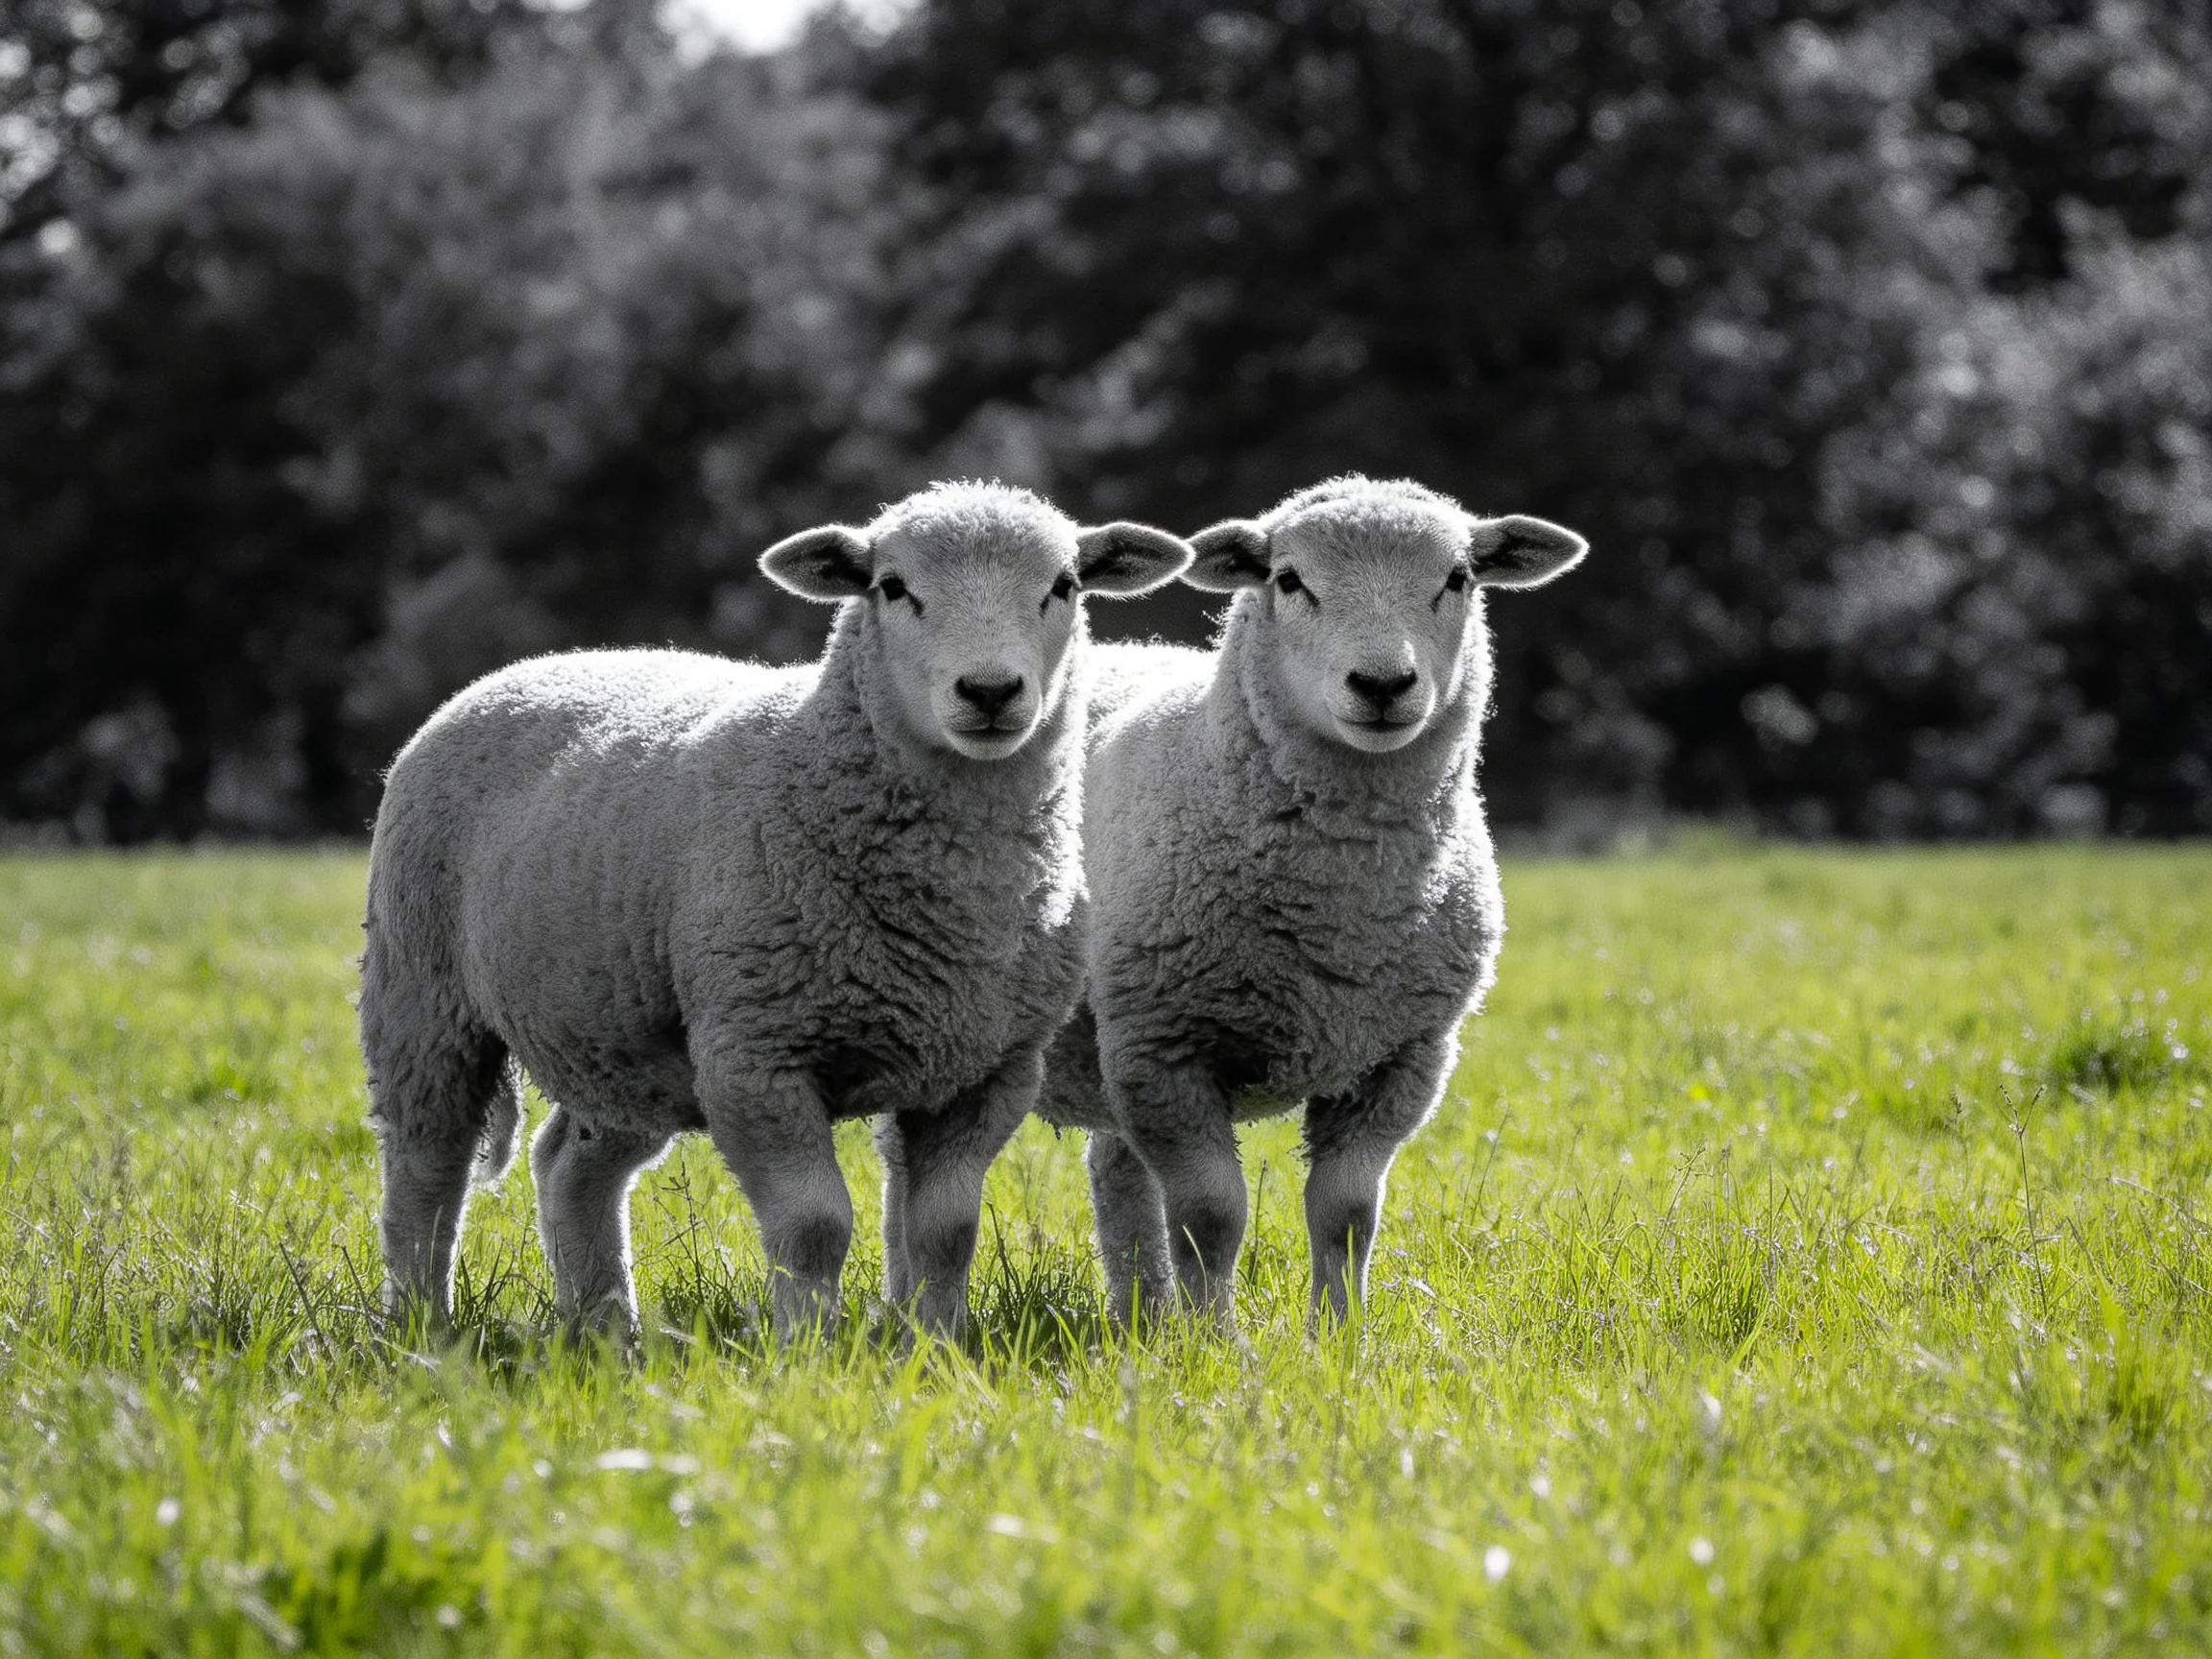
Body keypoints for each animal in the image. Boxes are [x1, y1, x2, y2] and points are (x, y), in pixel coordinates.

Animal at [360, 481, 1193, 1342]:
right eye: (892, 587)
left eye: (1064, 585)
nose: (990, 692)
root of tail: (527, 667)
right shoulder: (755, 1053)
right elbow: (813, 1226)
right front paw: (807, 1349)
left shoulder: (986, 1071)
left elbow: (945, 1231)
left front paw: (934, 1345)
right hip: (423, 996)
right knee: (424, 1175)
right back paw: (422, 1327)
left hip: (616, 1036)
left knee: (568, 1166)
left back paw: (605, 1329)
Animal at [1039, 476, 1586, 1331]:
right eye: (1289, 581)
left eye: (1458, 578)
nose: (1383, 685)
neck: (1343, 912)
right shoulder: (1167, 1048)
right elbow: (1210, 1217)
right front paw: (1213, 1344)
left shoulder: (1403, 1056)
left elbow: (1348, 1213)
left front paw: (1338, 1339)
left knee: (1115, 1170)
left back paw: (1141, 1319)